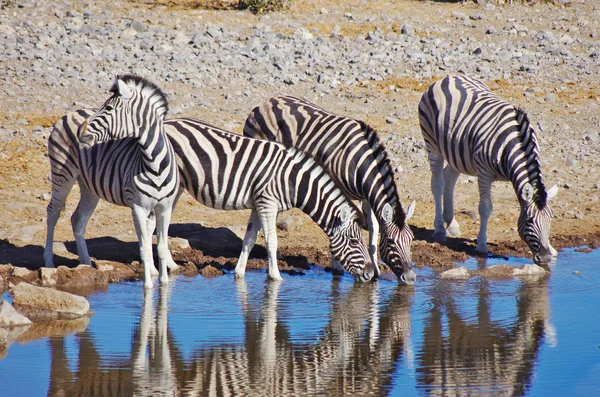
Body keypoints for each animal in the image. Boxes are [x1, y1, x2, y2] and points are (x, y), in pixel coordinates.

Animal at [44, 73, 178, 288]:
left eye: (108, 108)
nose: (81, 132)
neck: (154, 163)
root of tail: (70, 114)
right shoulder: (138, 208)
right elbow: (144, 249)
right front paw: (148, 287)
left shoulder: (164, 208)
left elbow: (162, 248)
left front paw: (164, 284)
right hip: (62, 173)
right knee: (53, 213)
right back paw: (49, 262)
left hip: (89, 186)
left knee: (78, 219)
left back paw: (86, 264)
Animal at [244, 94, 418, 284]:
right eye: (392, 242)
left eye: (411, 239)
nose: (410, 278)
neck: (359, 162)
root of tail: (268, 101)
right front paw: (337, 266)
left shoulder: (366, 196)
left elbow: (373, 229)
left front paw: (376, 270)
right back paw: (278, 254)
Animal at [418, 76, 556, 264]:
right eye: (529, 221)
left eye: (550, 219)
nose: (545, 257)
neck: (513, 144)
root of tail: (448, 78)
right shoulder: (484, 173)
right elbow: (485, 208)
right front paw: (482, 246)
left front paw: (553, 249)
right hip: (433, 145)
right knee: (437, 184)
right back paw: (439, 229)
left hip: (456, 150)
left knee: (449, 178)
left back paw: (451, 224)